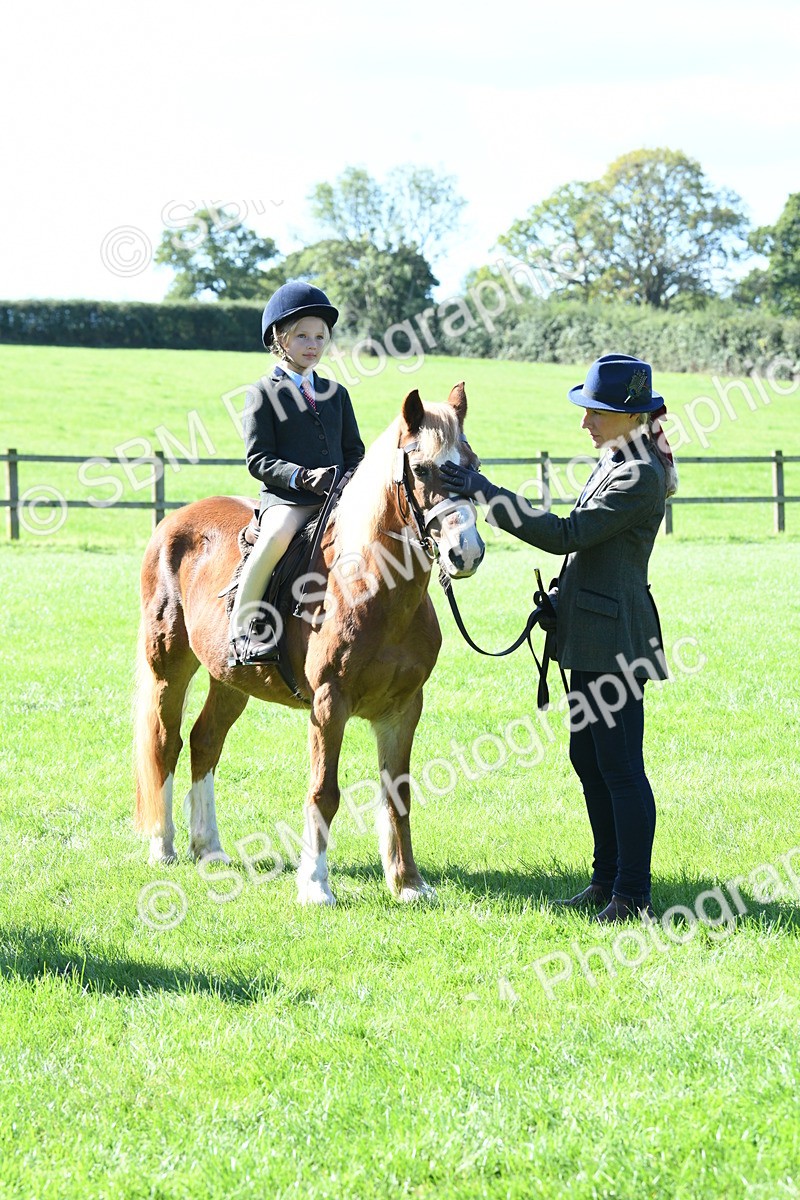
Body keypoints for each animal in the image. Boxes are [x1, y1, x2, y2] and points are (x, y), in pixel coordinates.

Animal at [133, 382, 486, 904]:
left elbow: (398, 793)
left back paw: (209, 847)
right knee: (165, 743)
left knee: (205, 741)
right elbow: (325, 791)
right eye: (421, 469)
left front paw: (408, 884)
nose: (467, 552)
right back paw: (163, 847)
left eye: (473, 463)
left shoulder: (404, 707)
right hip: (168, 668)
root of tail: (174, 521)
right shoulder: (329, 703)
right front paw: (316, 885)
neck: (371, 586)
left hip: (230, 680)